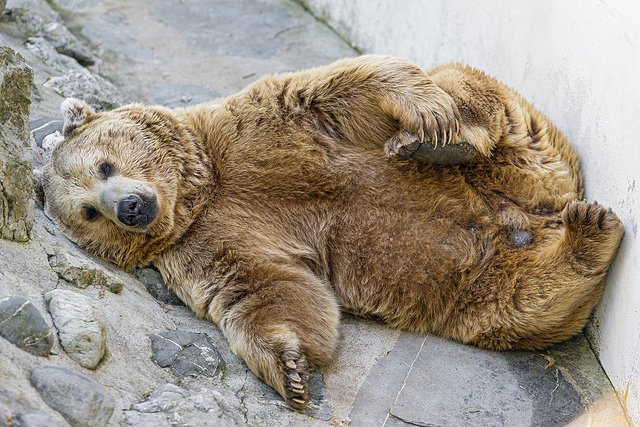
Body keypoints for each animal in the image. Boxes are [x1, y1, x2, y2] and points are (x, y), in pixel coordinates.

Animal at [41, 55, 624, 409]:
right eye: (88, 212)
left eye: (104, 165)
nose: (130, 208)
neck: (206, 186)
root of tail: (543, 209)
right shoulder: (209, 243)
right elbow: (266, 287)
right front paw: (291, 369)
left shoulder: (264, 127)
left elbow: (344, 90)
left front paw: (424, 117)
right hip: (475, 285)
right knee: (522, 300)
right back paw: (586, 234)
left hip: (524, 147)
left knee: (473, 96)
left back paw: (439, 143)